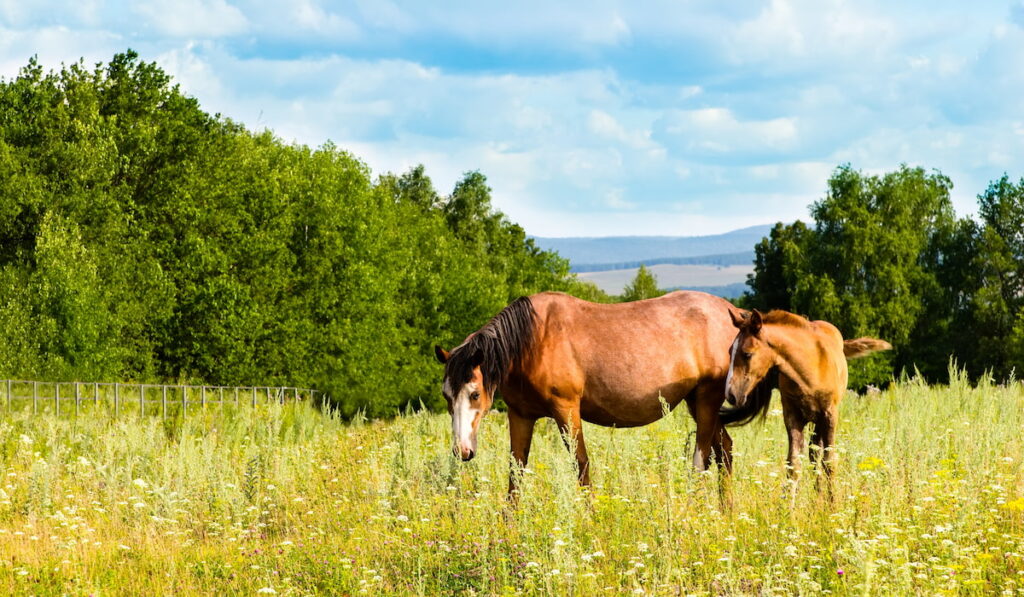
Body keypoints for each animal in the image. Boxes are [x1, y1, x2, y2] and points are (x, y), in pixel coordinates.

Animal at [430, 288, 770, 495]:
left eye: (475, 394)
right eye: (447, 397)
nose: (462, 450)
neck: (533, 340)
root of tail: (733, 312)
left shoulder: (567, 410)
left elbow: (581, 466)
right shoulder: (521, 415)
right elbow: (516, 471)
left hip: (706, 401)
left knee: (702, 459)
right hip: (697, 403)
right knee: (724, 452)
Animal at [716, 309, 892, 485]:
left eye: (747, 354)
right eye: (730, 351)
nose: (731, 395)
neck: (808, 372)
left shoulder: (830, 415)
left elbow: (829, 461)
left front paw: (833, 494)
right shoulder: (793, 417)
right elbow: (793, 464)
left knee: (817, 454)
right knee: (814, 454)